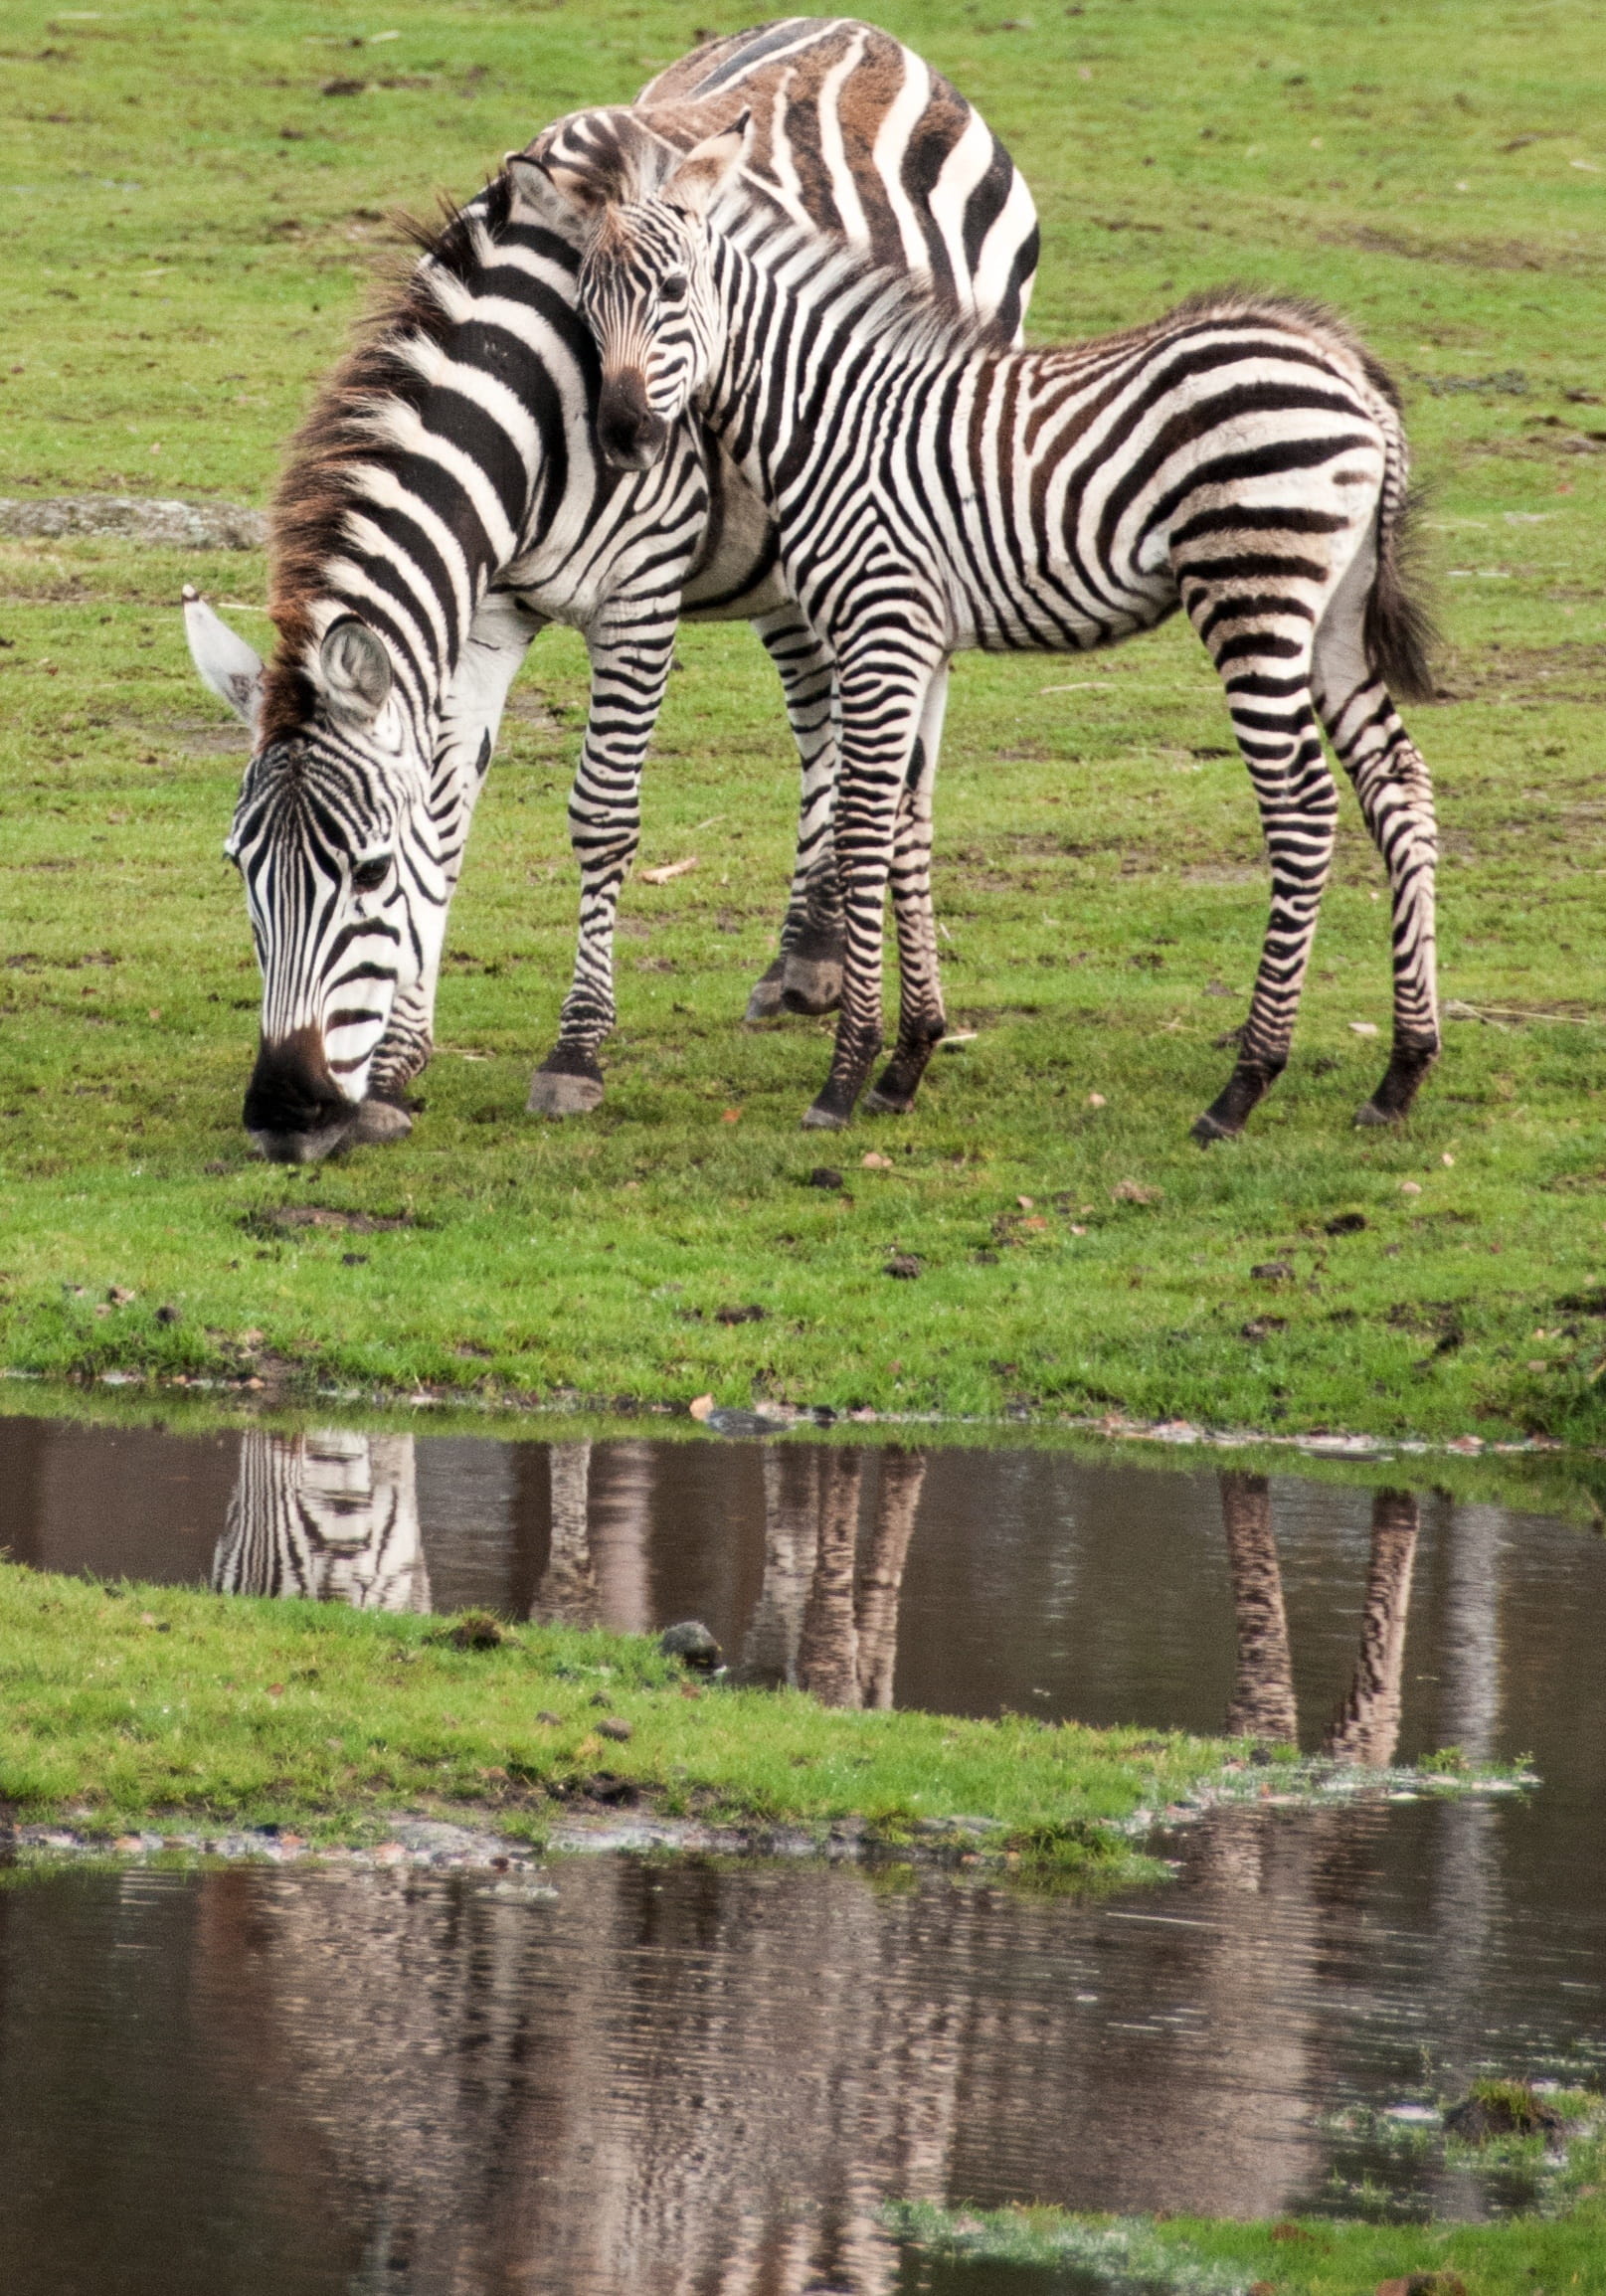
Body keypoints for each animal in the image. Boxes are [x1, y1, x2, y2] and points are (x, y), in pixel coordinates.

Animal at [182, 20, 1039, 1161]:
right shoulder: (488, 608)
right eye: (239, 866)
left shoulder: (636, 596)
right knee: (820, 710)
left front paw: (574, 1054)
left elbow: (602, 813)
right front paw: (400, 1067)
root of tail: (865, 35)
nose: (284, 1115)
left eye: (362, 873)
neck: (533, 398)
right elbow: (445, 815)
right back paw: (806, 957)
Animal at [545, 120, 1441, 1141]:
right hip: (1333, 612)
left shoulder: (879, 625)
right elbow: (909, 822)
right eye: (585, 307)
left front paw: (843, 1076)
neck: (826, 418)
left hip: (1251, 590)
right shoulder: (921, 640)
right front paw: (907, 1061)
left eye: (669, 290)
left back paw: (1242, 1085)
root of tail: (1342, 365)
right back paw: (1400, 1071)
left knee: (1302, 806)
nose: (620, 435)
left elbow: (861, 823)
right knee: (1397, 783)